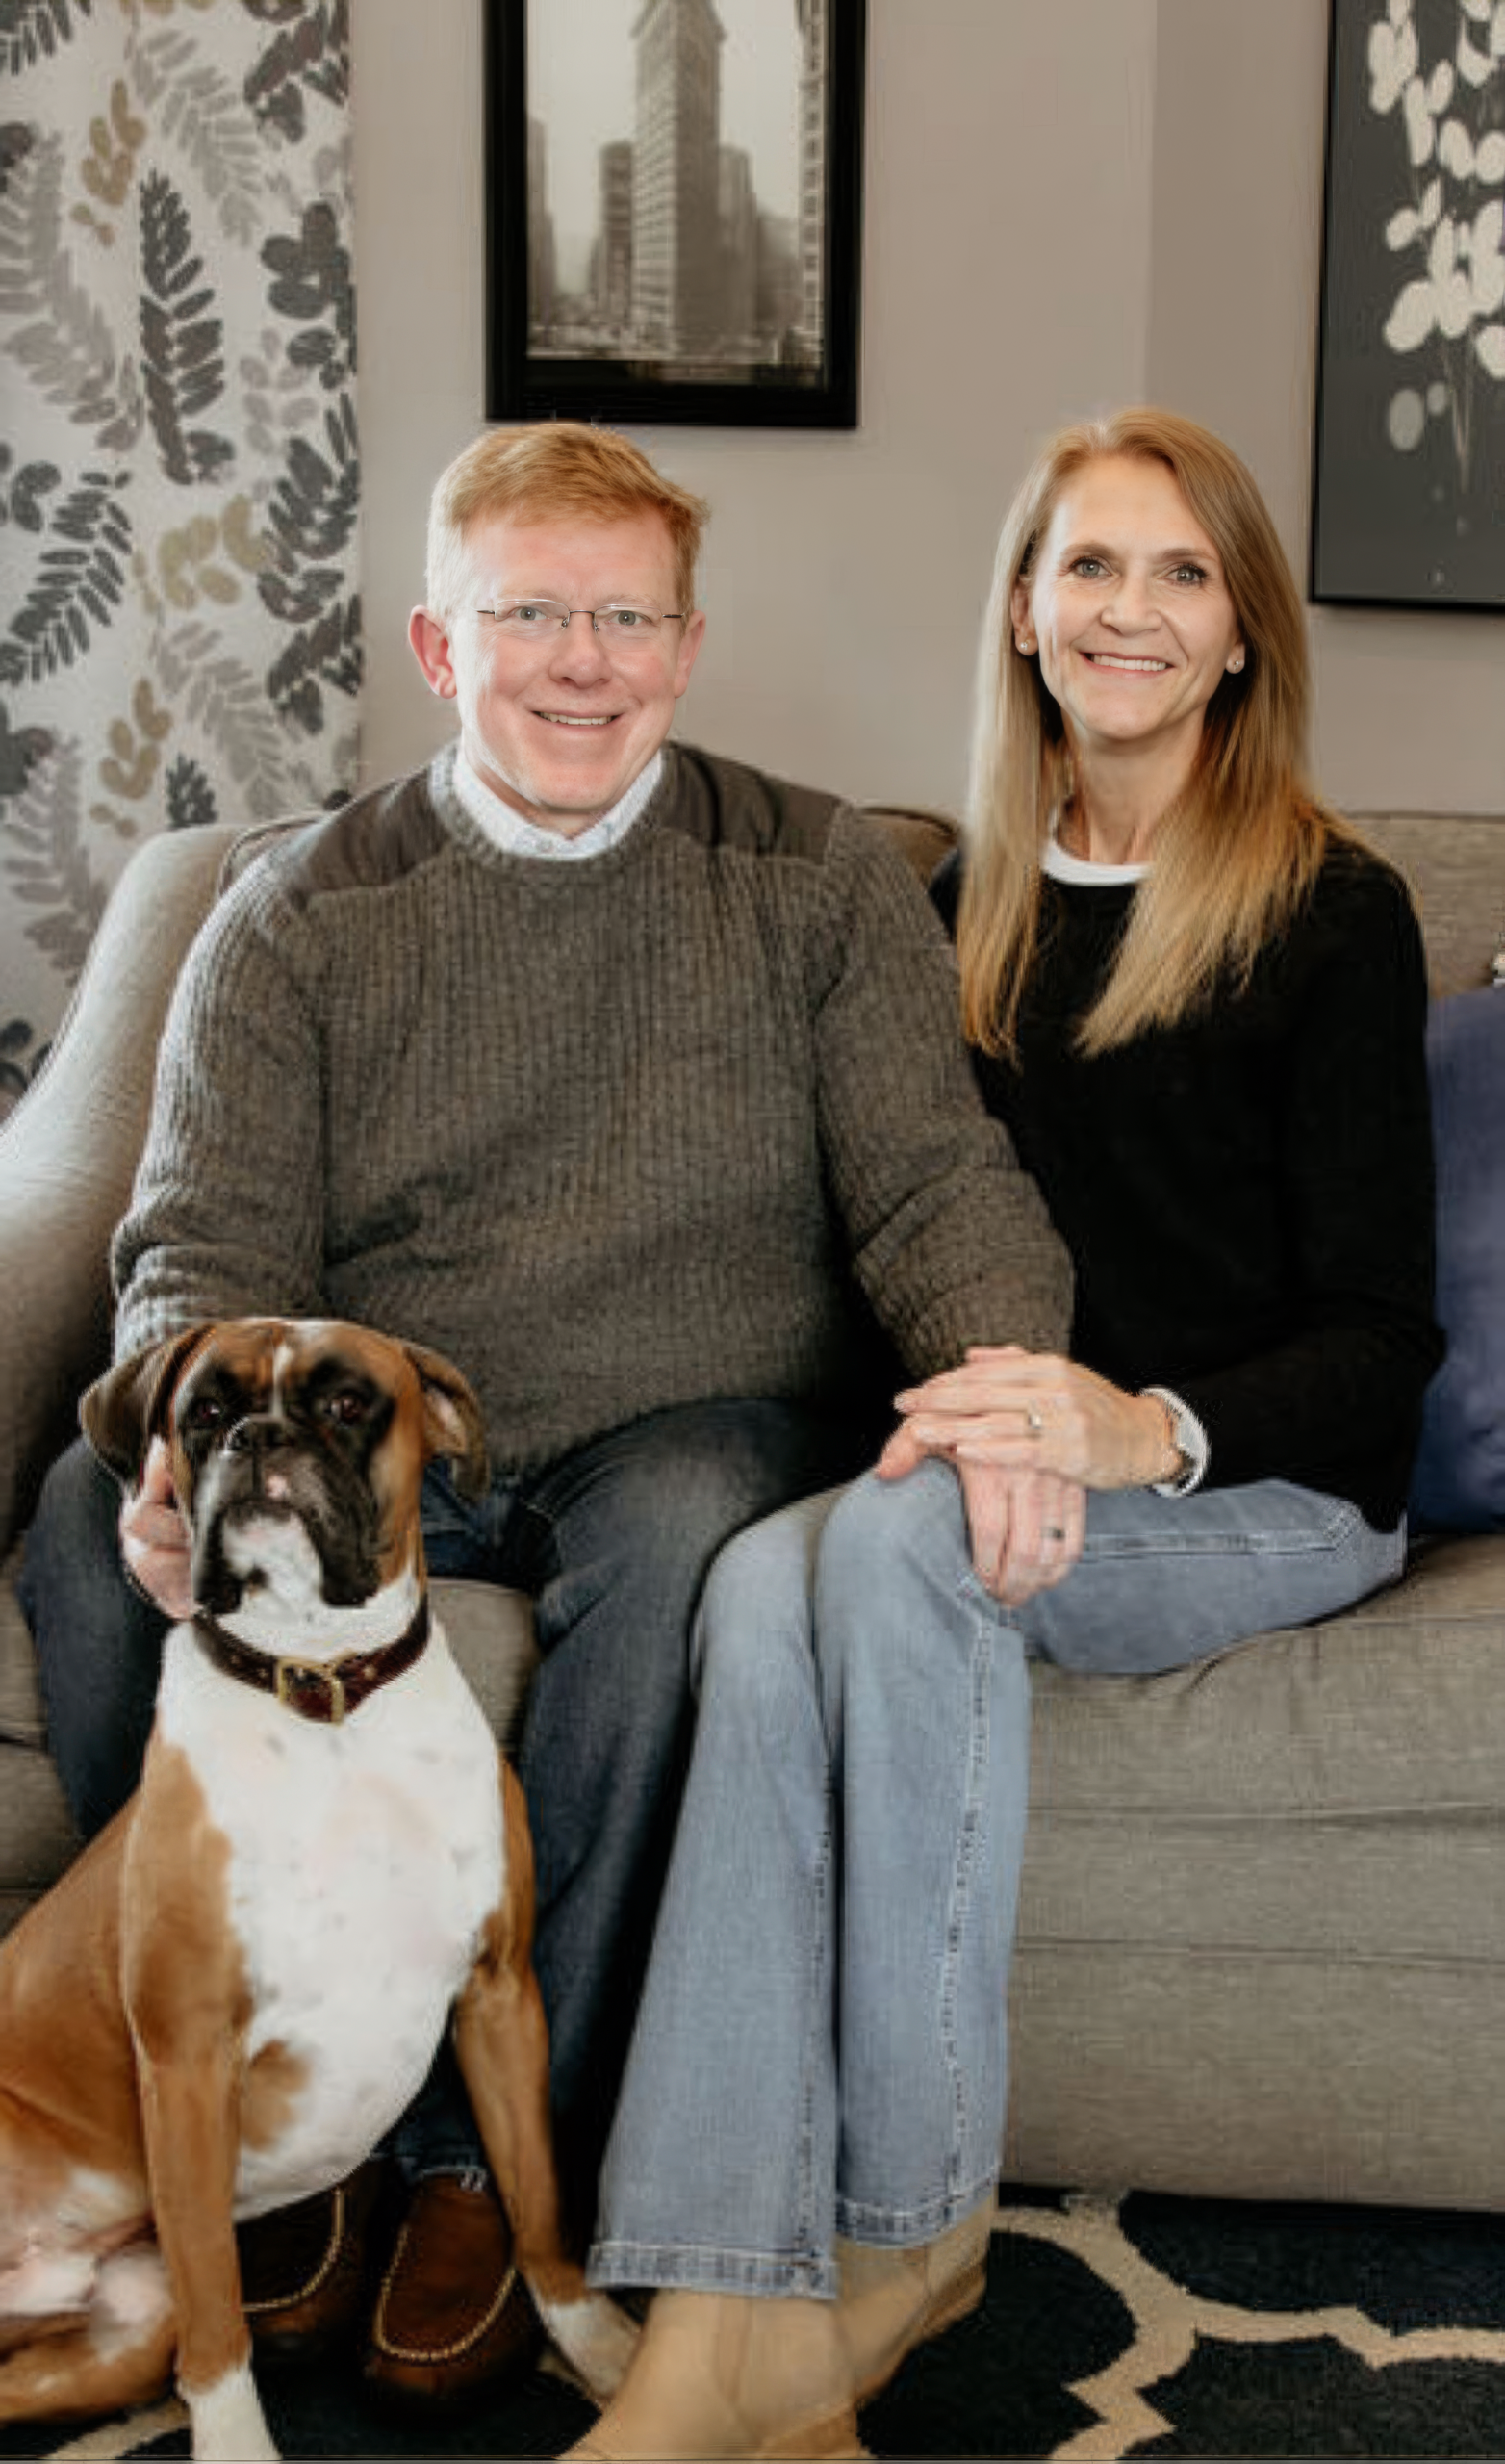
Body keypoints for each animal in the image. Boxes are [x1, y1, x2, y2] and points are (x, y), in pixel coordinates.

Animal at [0, 1318, 636, 2461]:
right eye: (202, 1412)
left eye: (346, 1406)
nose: (256, 1436)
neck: (326, 1697)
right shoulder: (186, 2059)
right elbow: (218, 2319)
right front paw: (236, 2445)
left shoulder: (499, 1997)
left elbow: (535, 2197)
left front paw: (600, 2348)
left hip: (119, 2331)